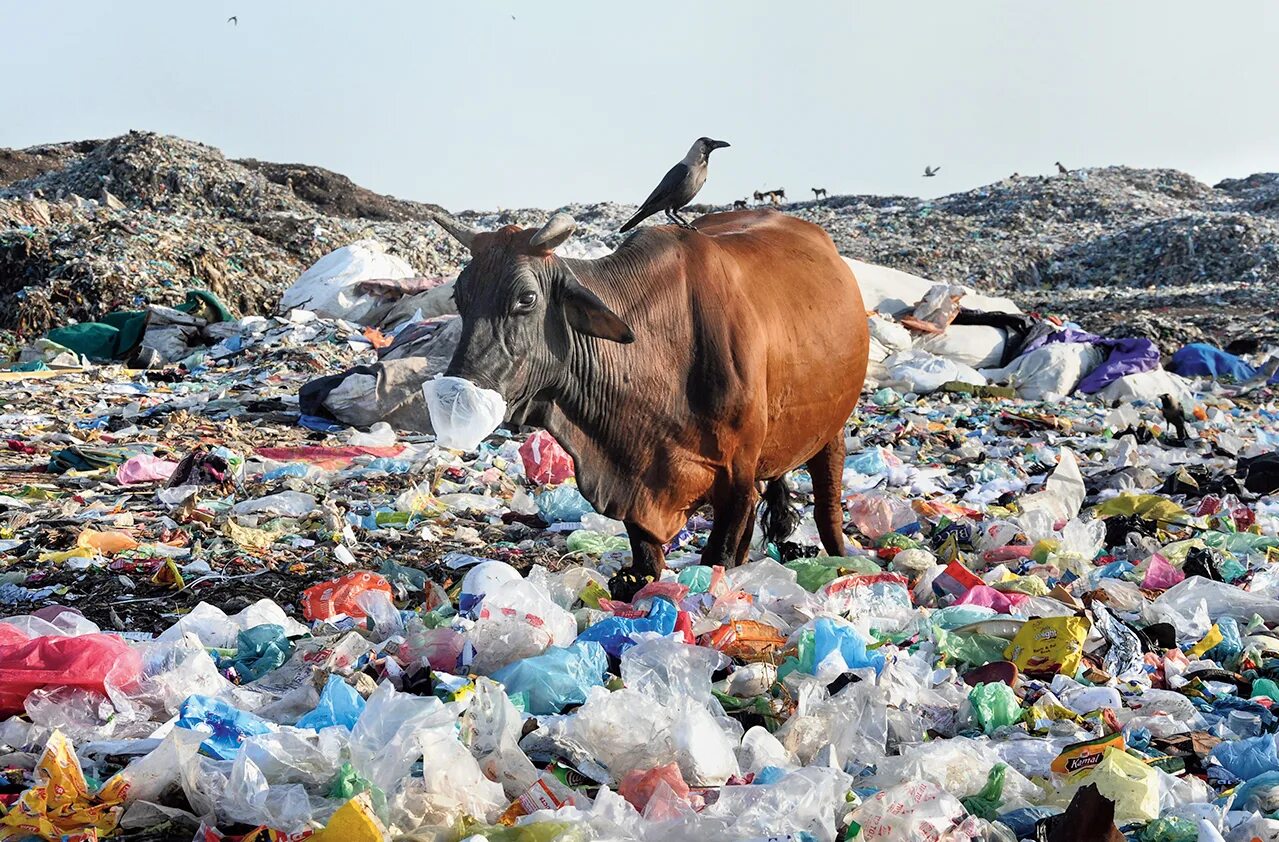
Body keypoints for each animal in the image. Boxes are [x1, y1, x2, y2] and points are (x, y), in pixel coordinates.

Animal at [432, 206, 869, 593]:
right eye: (459, 296)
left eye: (526, 298)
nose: (457, 392)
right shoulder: (635, 484)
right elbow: (646, 563)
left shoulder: (737, 479)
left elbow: (718, 557)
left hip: (832, 430)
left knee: (827, 509)